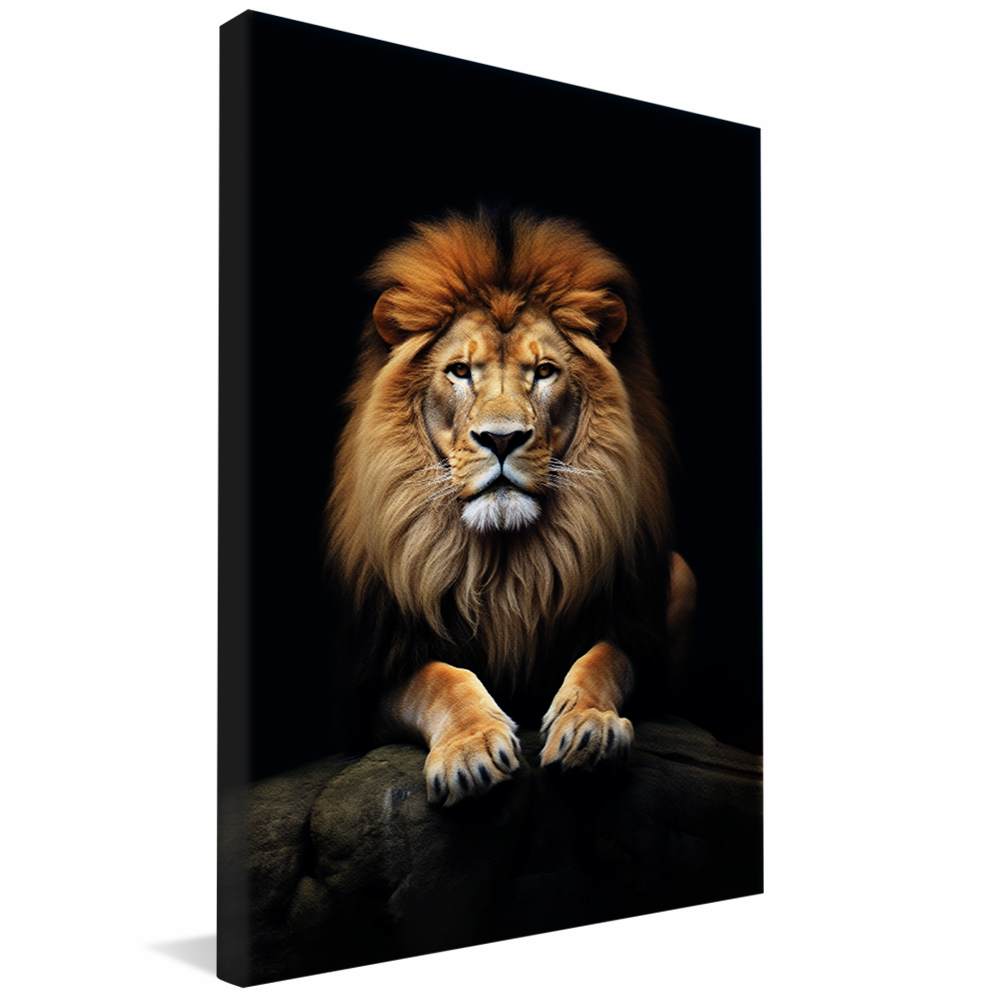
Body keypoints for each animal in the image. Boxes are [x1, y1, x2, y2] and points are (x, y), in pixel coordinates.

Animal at [325, 209, 695, 806]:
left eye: (544, 371)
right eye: (459, 371)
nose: (502, 439)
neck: (504, 566)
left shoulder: (632, 629)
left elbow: (604, 659)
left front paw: (588, 725)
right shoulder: (374, 675)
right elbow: (440, 679)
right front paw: (471, 750)